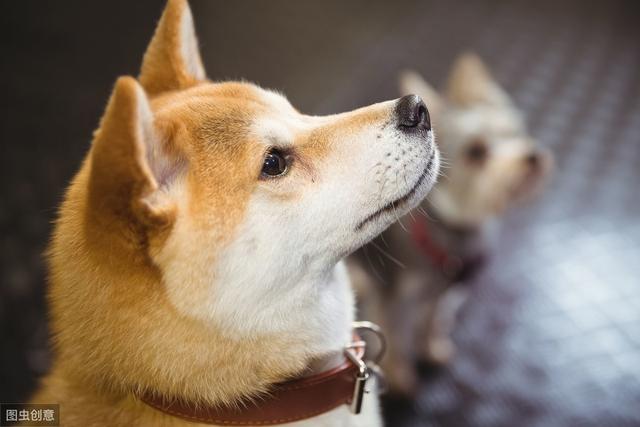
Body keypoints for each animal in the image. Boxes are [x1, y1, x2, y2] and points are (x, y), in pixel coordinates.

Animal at [348, 53, 552, 398]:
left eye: (513, 131)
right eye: (477, 152)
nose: (532, 156)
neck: (453, 233)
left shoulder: (439, 292)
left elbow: (431, 321)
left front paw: (432, 348)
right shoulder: (394, 300)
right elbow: (396, 337)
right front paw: (401, 377)